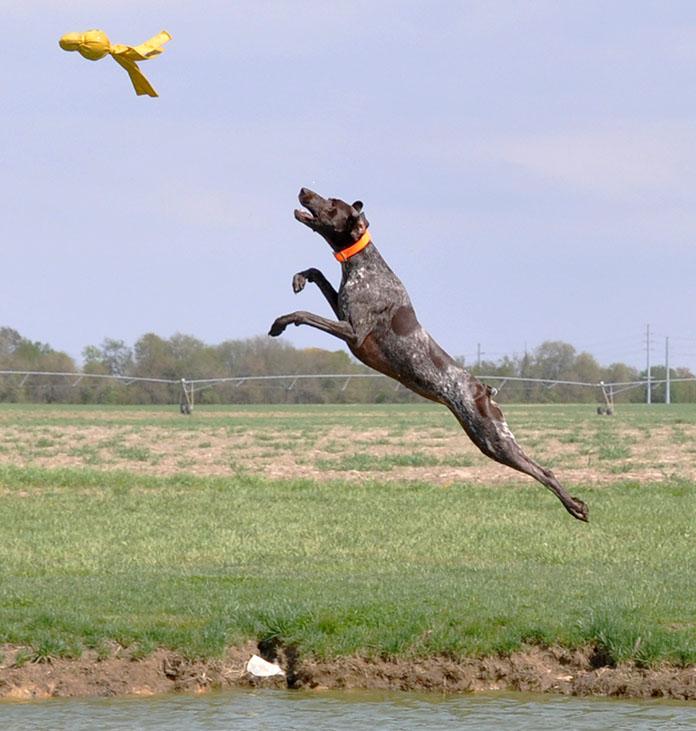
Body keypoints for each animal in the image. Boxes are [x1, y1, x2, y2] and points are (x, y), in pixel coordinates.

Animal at [270, 187, 588, 520]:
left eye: (332, 205)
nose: (303, 190)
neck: (362, 264)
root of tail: (484, 389)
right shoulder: (343, 313)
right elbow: (318, 273)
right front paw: (300, 277)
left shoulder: (354, 333)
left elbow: (304, 313)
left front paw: (280, 323)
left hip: (492, 437)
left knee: (543, 471)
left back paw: (576, 506)